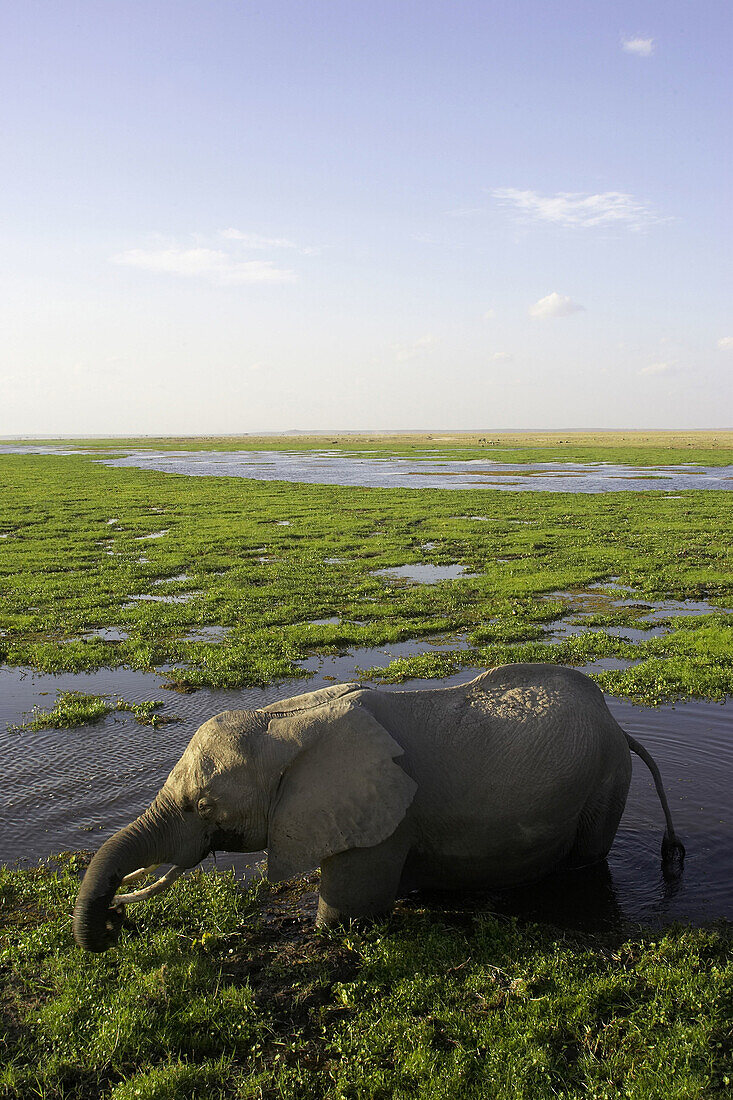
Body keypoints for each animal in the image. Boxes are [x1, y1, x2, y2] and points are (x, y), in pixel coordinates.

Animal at [71, 664, 682, 950]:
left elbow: (344, 917)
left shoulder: (386, 818)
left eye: (202, 805)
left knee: (587, 859)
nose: (117, 924)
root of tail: (619, 727)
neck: (287, 723)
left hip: (606, 780)